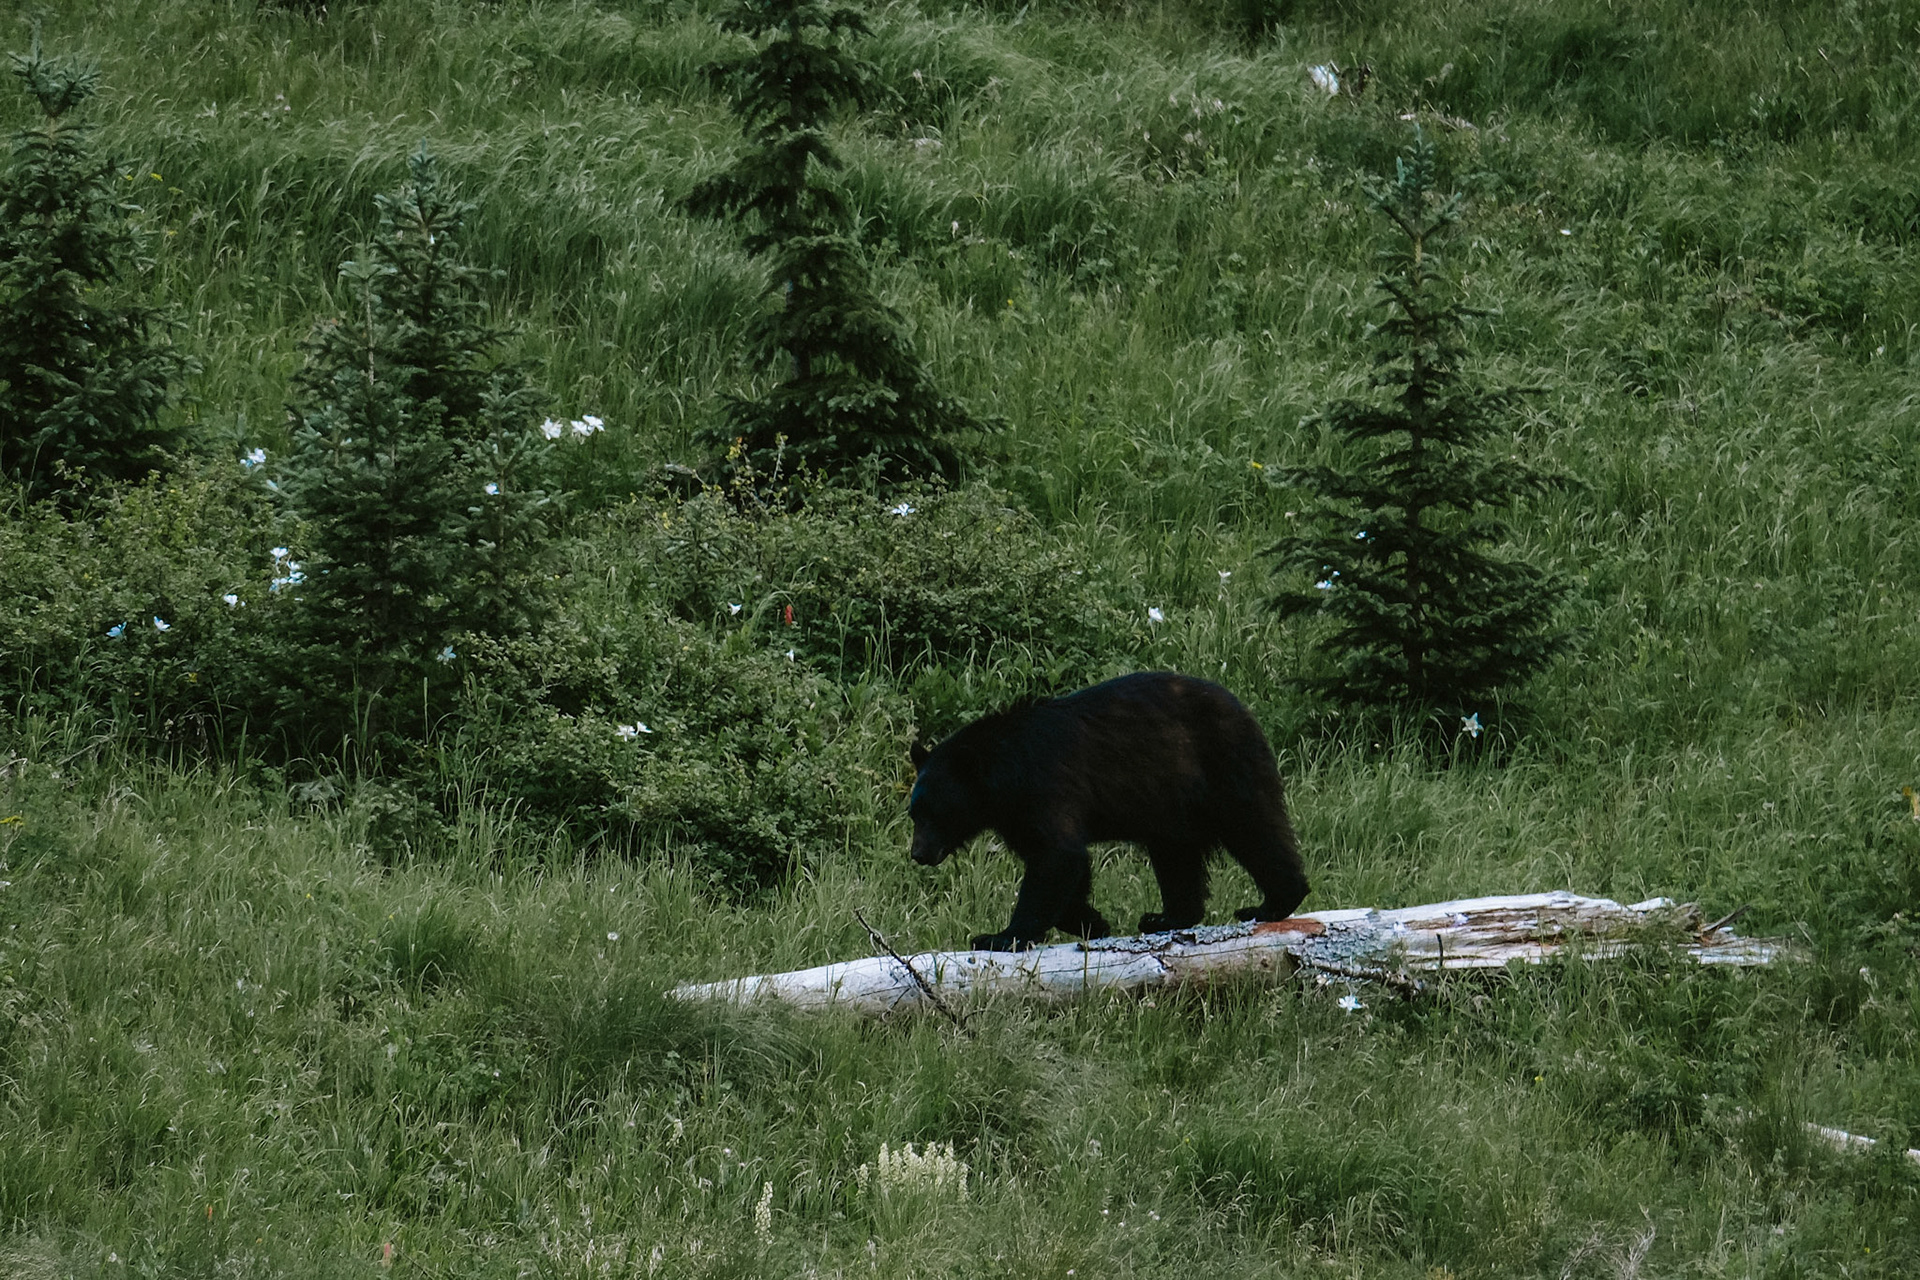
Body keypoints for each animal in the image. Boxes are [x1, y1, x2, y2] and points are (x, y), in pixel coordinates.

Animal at [908, 670, 1309, 951]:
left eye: (935, 813)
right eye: (914, 814)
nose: (918, 854)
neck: (1004, 773)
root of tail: (1245, 710)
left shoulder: (1043, 787)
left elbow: (1058, 855)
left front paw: (1001, 937)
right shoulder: (1015, 815)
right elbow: (1060, 862)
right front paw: (1092, 921)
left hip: (1223, 767)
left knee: (1255, 830)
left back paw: (1270, 904)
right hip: (1172, 805)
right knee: (1177, 856)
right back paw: (1166, 918)